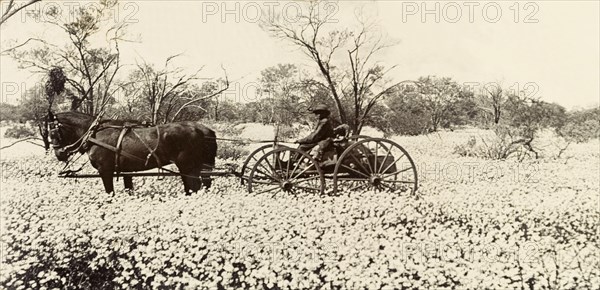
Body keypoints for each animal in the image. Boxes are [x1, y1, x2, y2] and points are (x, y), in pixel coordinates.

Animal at [45, 111, 218, 195]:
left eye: (52, 131)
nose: (59, 154)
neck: (94, 134)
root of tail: (205, 131)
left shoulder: (105, 171)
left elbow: (110, 193)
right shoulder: (126, 172)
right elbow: (128, 189)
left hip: (188, 167)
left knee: (194, 188)